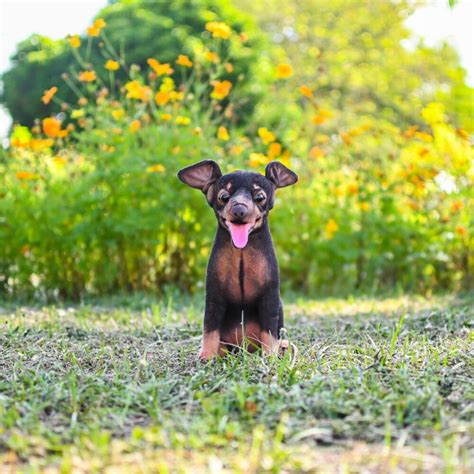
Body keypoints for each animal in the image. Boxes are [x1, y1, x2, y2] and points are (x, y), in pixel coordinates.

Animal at [178, 159, 296, 360]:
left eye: (260, 197)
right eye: (223, 197)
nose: (239, 210)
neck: (242, 250)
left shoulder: (270, 296)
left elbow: (269, 331)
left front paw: (270, 356)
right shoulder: (214, 297)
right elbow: (209, 329)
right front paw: (207, 356)